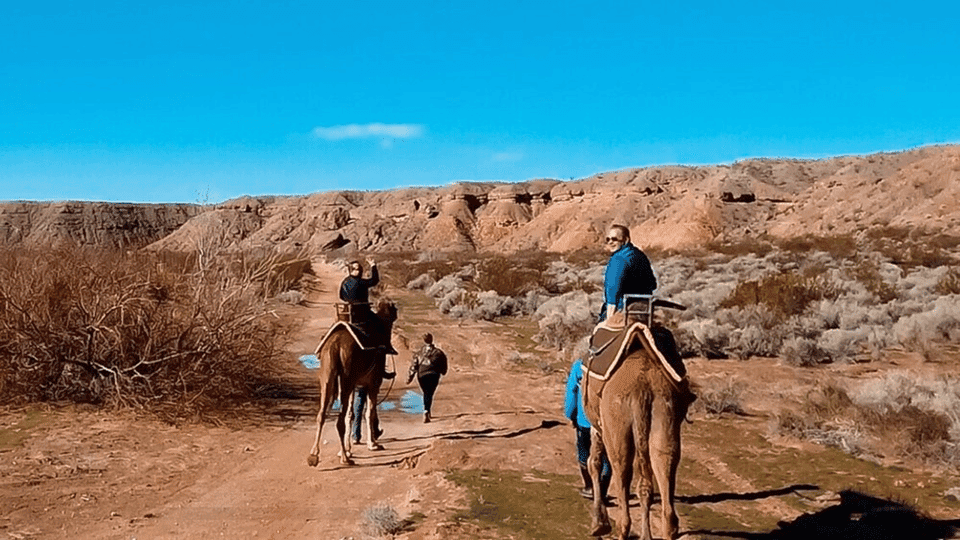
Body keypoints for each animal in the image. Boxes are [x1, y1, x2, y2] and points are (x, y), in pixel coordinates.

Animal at [306, 299, 398, 467]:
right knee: (339, 420)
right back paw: (345, 458)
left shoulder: (356, 384)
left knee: (322, 414)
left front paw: (349, 448)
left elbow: (351, 413)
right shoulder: (373, 383)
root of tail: (336, 345)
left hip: (328, 373)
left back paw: (314, 455)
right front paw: (373, 444)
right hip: (347, 377)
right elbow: (369, 412)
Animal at [583, 334, 696, 540]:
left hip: (617, 423)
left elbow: (594, 463)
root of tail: (642, 388)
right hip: (665, 416)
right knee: (664, 464)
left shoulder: (598, 426)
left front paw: (598, 525)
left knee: (621, 468)